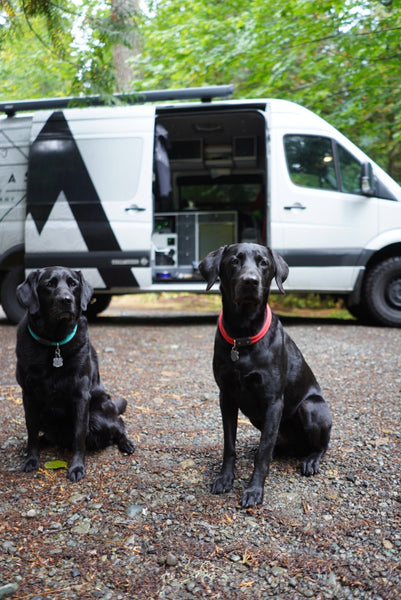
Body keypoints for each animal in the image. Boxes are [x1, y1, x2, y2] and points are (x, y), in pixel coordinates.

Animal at [16, 264, 134, 480]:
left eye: (73, 284)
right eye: (49, 284)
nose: (66, 300)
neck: (54, 341)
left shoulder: (81, 396)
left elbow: (79, 435)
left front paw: (77, 467)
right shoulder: (28, 395)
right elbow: (31, 431)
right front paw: (31, 458)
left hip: (99, 415)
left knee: (119, 425)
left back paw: (126, 443)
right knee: (47, 434)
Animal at [198, 243, 332, 506]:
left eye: (263, 263)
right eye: (234, 261)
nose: (250, 281)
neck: (242, 335)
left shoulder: (273, 402)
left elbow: (262, 454)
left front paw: (254, 490)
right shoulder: (226, 397)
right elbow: (229, 445)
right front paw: (225, 478)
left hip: (311, 408)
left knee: (320, 445)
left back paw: (311, 460)